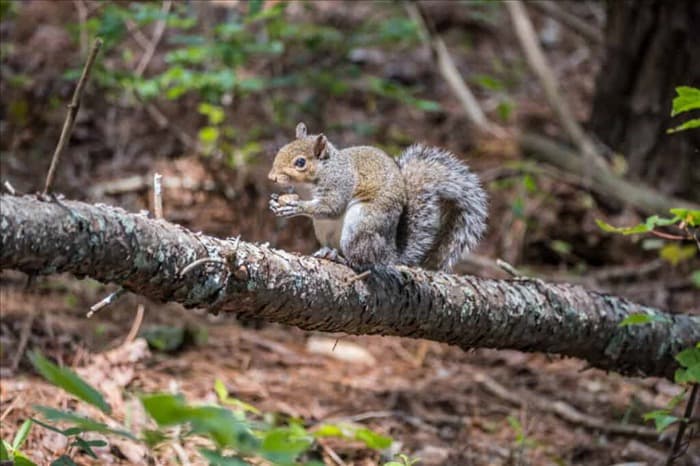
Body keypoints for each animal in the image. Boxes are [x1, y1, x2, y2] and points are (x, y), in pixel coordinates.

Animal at [266, 122, 486, 272]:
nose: (271, 177)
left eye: (300, 162)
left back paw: (342, 259)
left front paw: (297, 207)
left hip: (361, 223)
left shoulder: (340, 183)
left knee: (362, 261)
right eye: (281, 150)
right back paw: (328, 252)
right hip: (323, 230)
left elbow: (332, 207)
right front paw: (276, 200)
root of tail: (390, 254)